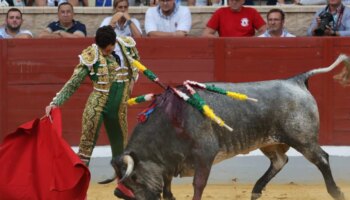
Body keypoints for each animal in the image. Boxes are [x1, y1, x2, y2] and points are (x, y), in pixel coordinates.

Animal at [108, 54, 348, 200]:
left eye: (134, 178)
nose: (119, 193)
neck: (171, 120)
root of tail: (295, 80)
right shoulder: (168, 161)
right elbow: (167, 184)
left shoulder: (204, 155)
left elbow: (198, 184)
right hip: (269, 141)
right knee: (280, 160)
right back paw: (256, 190)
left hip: (302, 138)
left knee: (321, 158)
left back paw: (336, 192)